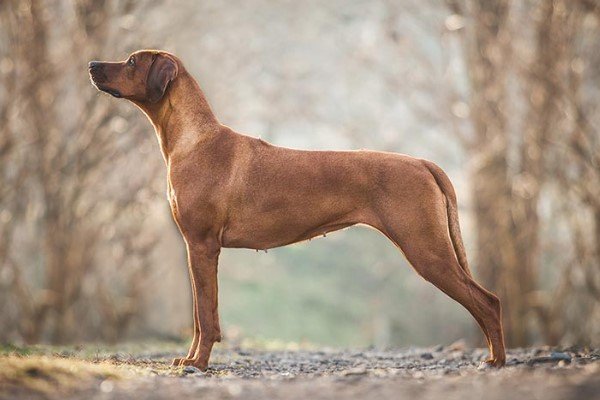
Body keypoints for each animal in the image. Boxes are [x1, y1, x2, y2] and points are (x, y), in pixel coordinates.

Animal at [86, 50, 504, 372]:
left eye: (131, 61)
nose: (91, 64)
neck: (194, 139)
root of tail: (422, 162)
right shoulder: (196, 249)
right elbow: (200, 316)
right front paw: (188, 359)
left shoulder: (202, 246)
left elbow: (204, 315)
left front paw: (200, 364)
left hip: (426, 249)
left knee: (488, 301)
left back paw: (497, 361)